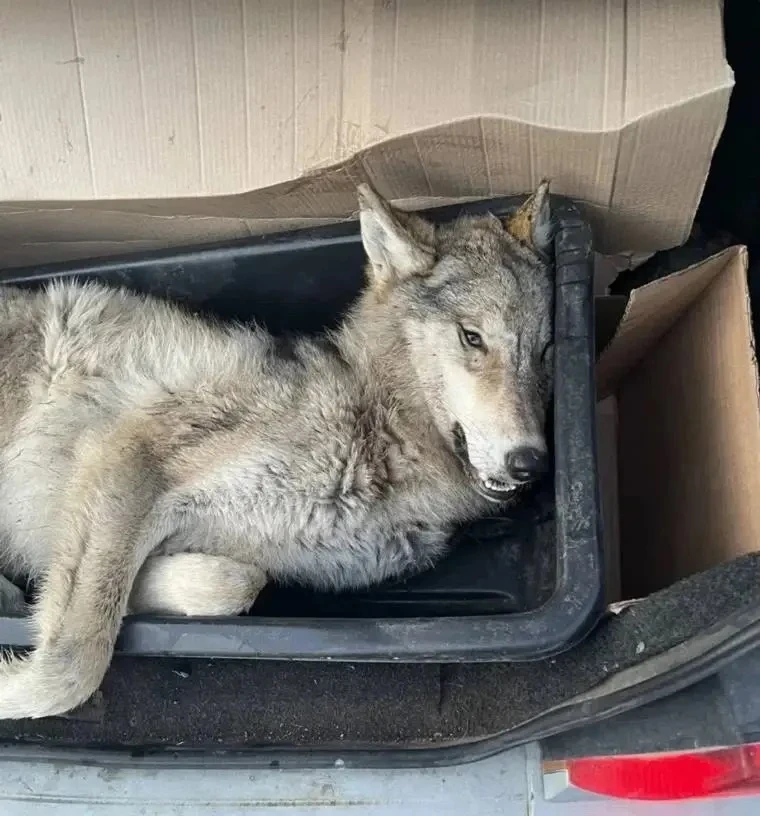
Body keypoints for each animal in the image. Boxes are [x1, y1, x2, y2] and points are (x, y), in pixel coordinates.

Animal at [0, 181, 555, 719]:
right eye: (472, 337)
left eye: (544, 352)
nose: (531, 463)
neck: (376, 435)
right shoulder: (126, 455)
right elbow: (72, 668)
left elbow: (236, 584)